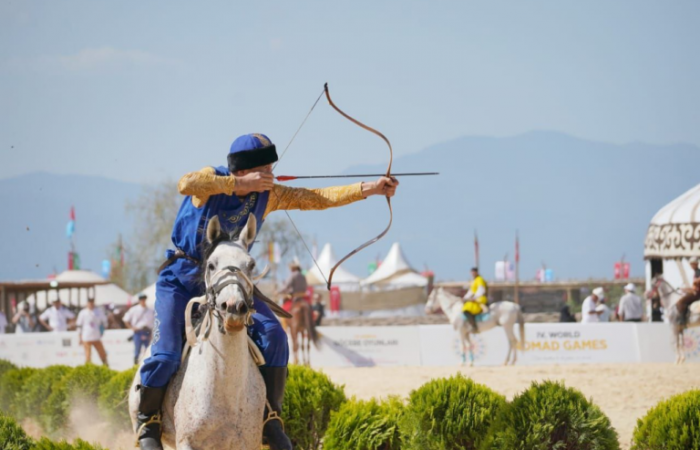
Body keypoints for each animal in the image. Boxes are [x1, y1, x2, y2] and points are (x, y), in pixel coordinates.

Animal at [129, 214, 268, 450]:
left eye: (251, 264)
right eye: (211, 265)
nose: (233, 308)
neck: (227, 390)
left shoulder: (247, 444)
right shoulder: (187, 442)